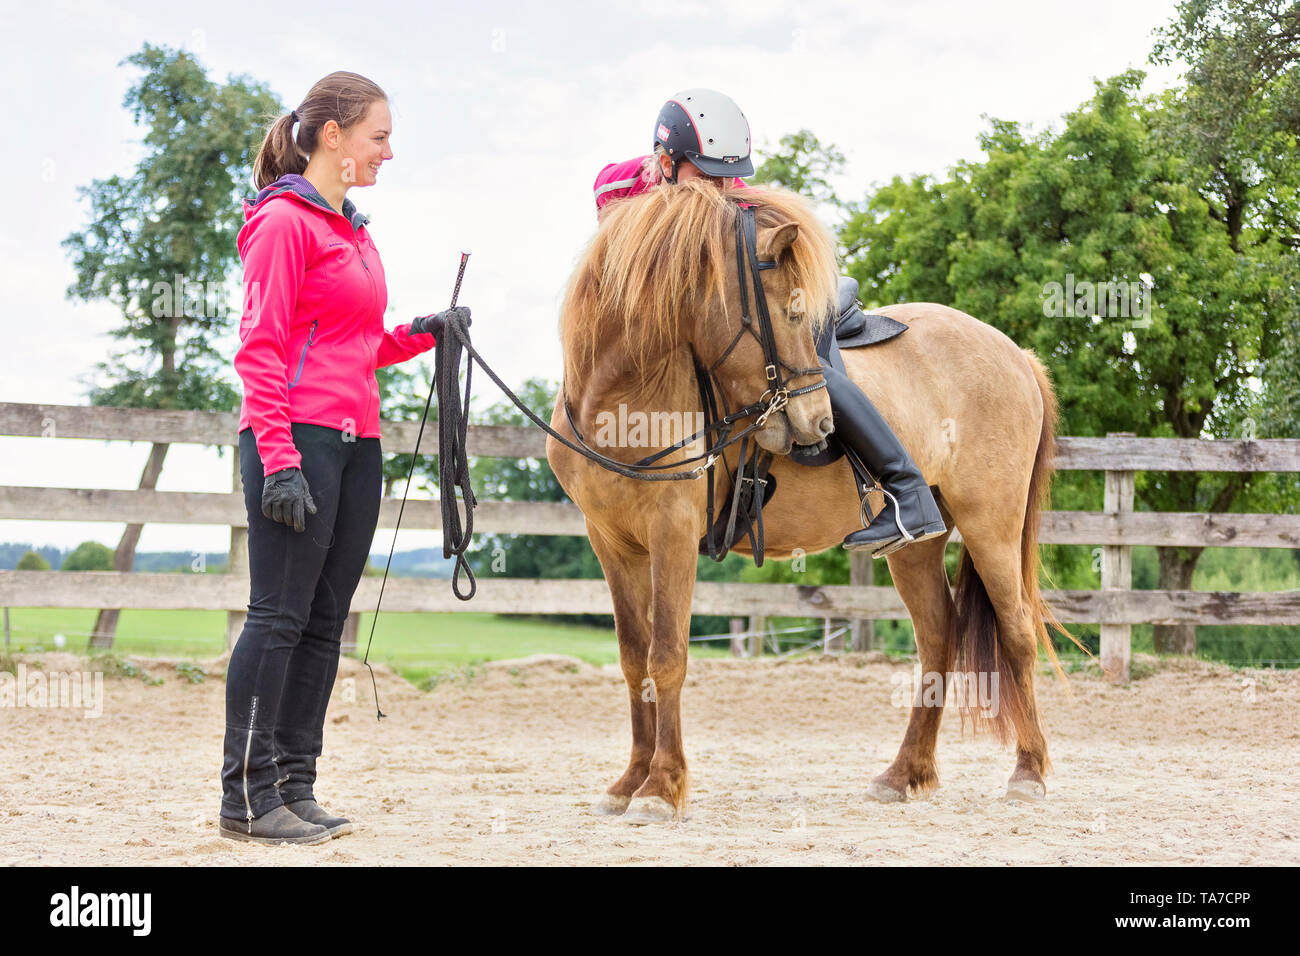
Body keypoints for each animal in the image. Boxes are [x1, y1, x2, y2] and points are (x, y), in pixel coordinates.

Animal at [546, 179, 1066, 822]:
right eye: (791, 311)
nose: (819, 422)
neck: (622, 395)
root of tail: (1017, 355)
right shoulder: (612, 542)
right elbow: (632, 658)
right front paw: (629, 781)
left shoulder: (672, 534)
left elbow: (666, 656)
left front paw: (661, 787)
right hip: (918, 548)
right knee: (938, 637)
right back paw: (904, 773)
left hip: (991, 523)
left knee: (1017, 630)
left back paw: (1029, 772)